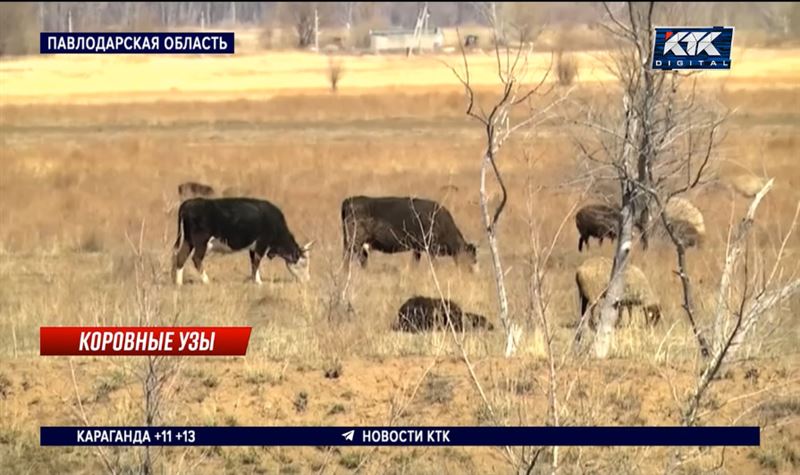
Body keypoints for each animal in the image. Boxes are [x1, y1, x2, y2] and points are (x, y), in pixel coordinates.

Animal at [172, 197, 312, 286]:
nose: (307, 280)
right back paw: (207, 281)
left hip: (188, 241)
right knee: (196, 258)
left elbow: (253, 263)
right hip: (201, 242)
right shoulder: (261, 244)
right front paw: (259, 282)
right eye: (303, 263)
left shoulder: (253, 247)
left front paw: (255, 279)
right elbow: (256, 262)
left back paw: (179, 283)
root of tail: (190, 203)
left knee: (180, 257)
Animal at [340, 196, 478, 272]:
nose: (472, 272)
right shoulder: (431, 249)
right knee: (348, 257)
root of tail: (349, 200)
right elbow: (434, 265)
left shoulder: (417, 249)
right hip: (355, 241)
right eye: (471, 257)